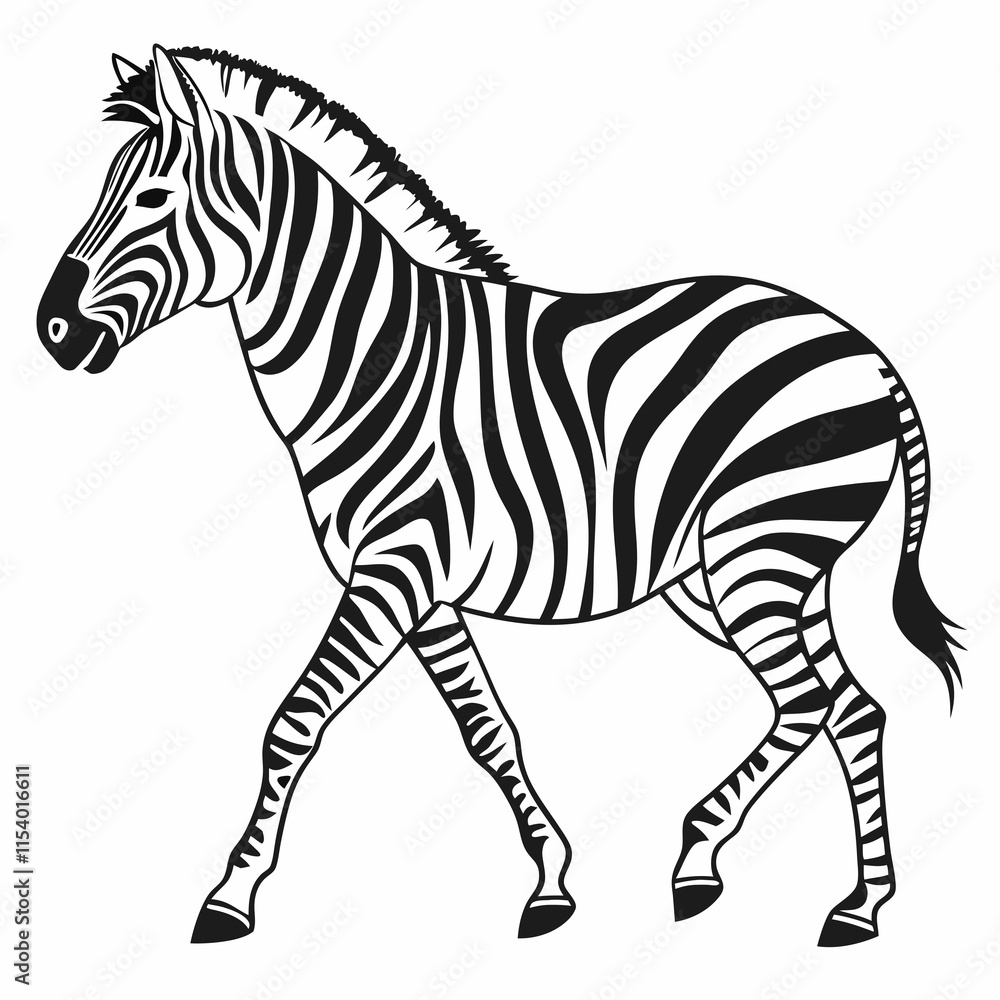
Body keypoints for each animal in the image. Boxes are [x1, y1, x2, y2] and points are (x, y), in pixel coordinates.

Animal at [37, 46, 961, 949]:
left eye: (152, 197)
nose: (51, 331)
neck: (371, 359)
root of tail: (865, 349)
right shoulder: (423, 589)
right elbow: (490, 733)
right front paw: (552, 884)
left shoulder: (394, 569)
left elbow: (294, 720)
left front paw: (231, 896)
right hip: (751, 572)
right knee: (854, 709)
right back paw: (857, 904)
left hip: (759, 552)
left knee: (809, 703)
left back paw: (709, 859)